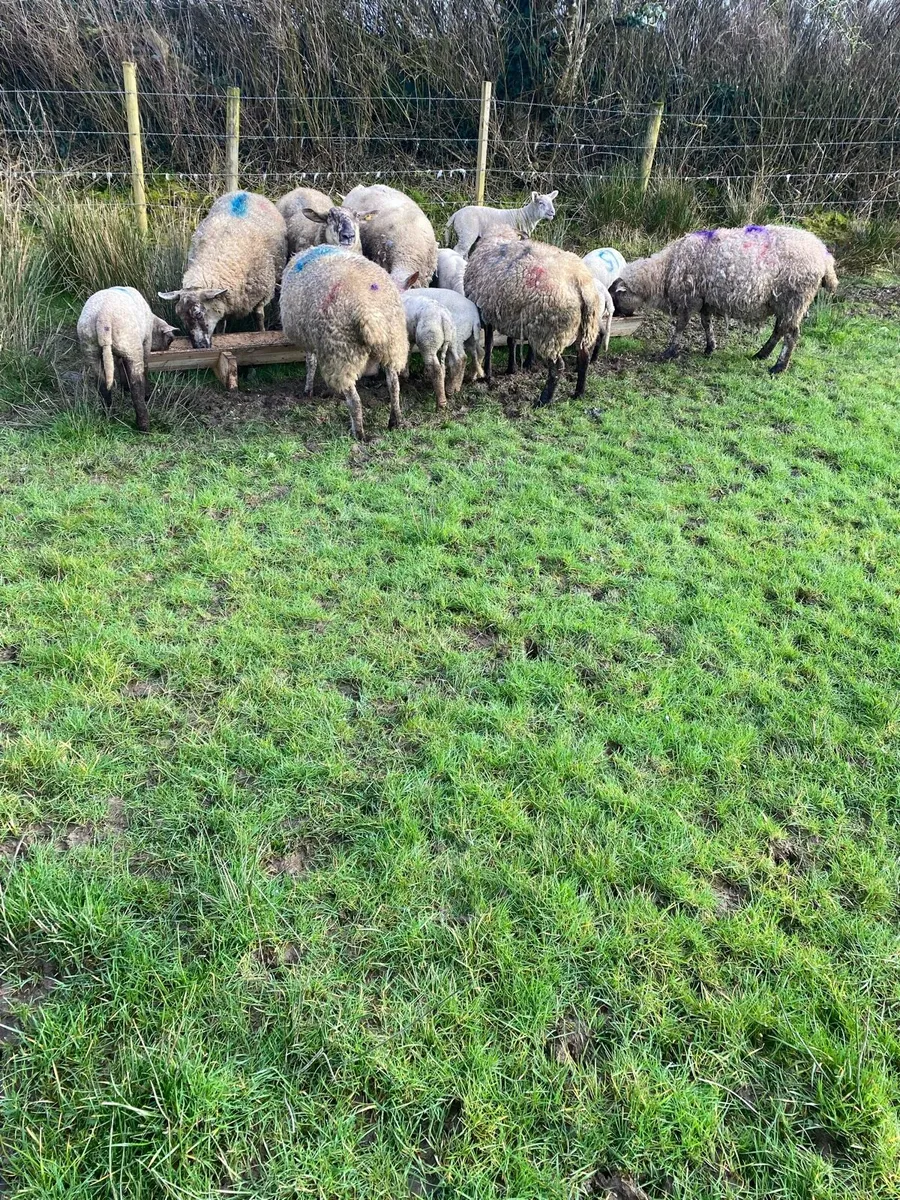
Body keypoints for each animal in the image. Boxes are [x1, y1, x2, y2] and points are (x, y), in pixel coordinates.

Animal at [77, 286, 177, 432]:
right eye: (170, 340)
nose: (167, 348)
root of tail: (103, 317)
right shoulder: (146, 342)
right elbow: (146, 366)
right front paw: (143, 392)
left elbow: (119, 364)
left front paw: (125, 385)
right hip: (132, 346)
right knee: (137, 386)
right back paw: (144, 424)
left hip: (90, 348)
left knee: (101, 384)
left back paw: (109, 415)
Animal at [158, 190, 287, 348]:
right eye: (181, 318)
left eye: (198, 313)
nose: (199, 346)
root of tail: (243, 192)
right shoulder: (223, 301)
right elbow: (221, 324)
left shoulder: (262, 292)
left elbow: (259, 316)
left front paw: (262, 333)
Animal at [279, 244, 408, 441]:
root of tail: (369, 312)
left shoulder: (310, 341)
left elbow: (311, 363)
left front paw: (308, 391)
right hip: (393, 346)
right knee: (394, 386)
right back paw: (396, 421)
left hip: (342, 353)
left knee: (354, 400)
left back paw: (359, 433)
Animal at [464, 233, 600, 406]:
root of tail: (579, 282)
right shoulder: (511, 315)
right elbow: (511, 342)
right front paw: (511, 368)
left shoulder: (486, 314)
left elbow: (489, 345)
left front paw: (487, 375)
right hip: (582, 329)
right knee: (584, 358)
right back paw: (579, 393)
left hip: (551, 332)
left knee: (557, 368)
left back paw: (543, 401)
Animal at [608, 224, 838, 372]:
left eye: (615, 298)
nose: (617, 315)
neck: (665, 271)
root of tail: (824, 257)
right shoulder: (705, 301)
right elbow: (706, 323)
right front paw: (710, 347)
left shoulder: (689, 299)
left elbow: (681, 326)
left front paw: (669, 352)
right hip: (784, 301)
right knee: (780, 329)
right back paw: (761, 354)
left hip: (794, 298)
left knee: (791, 334)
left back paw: (778, 367)